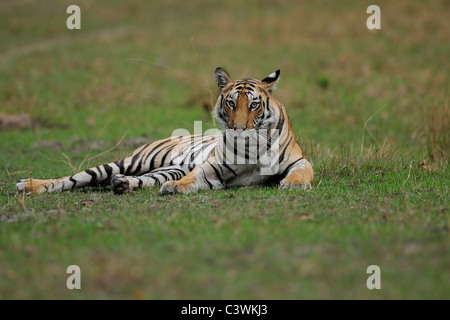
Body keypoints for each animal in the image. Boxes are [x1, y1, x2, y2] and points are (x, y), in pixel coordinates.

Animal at [15, 68, 314, 195]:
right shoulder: (213, 168)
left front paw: (293, 184)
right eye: (231, 103)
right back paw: (29, 186)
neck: (252, 147)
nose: (239, 129)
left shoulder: (299, 160)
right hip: (128, 161)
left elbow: (301, 172)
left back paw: (122, 184)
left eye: (253, 104)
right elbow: (195, 176)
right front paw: (175, 188)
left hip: (163, 168)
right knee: (73, 179)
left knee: (140, 179)